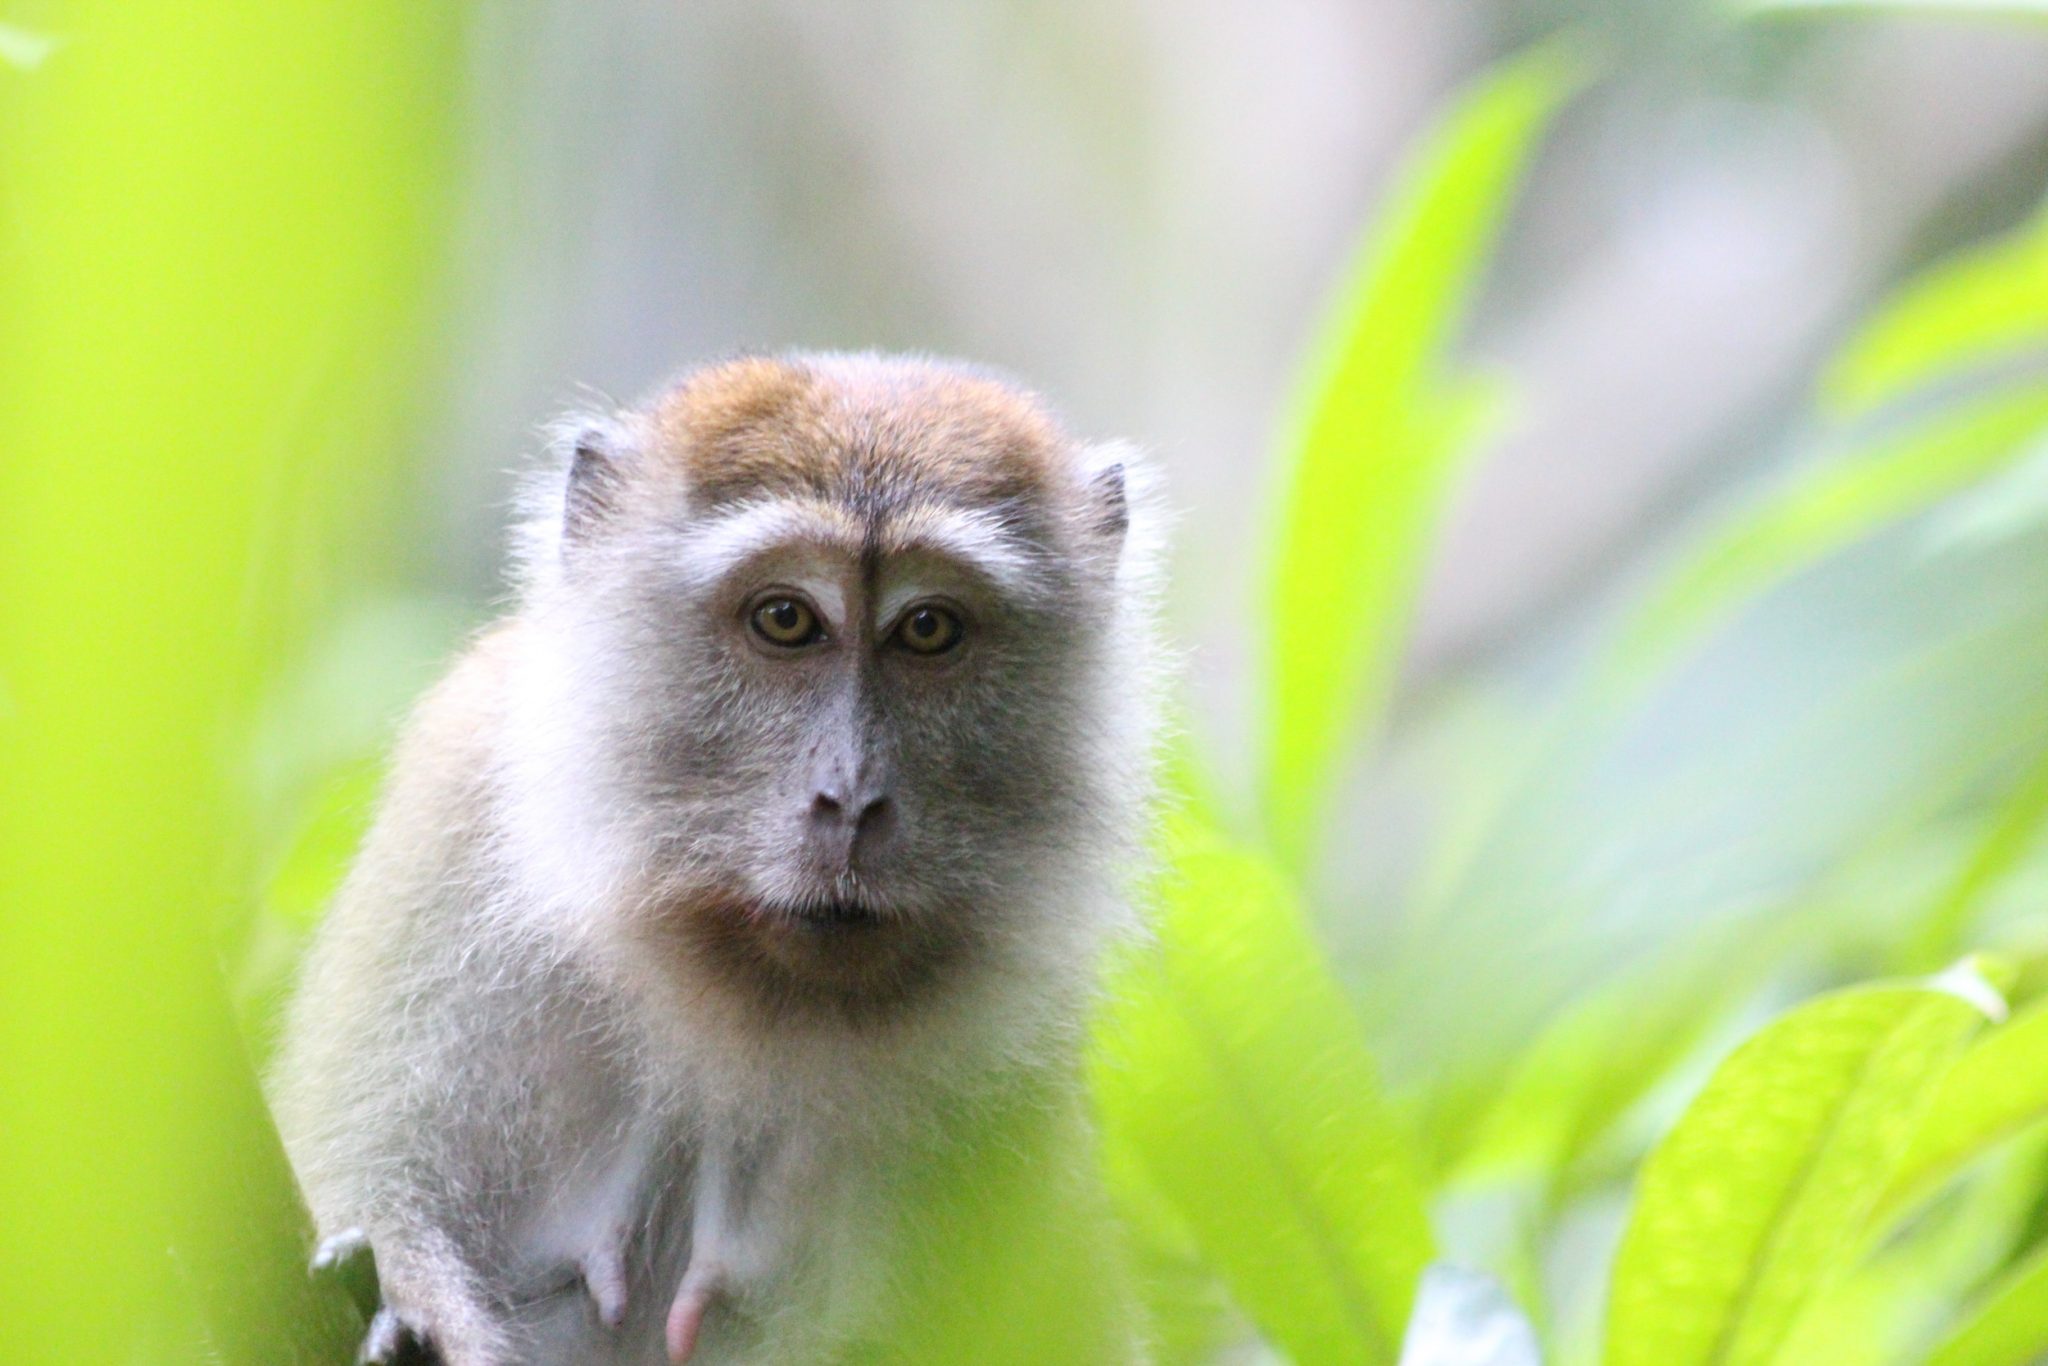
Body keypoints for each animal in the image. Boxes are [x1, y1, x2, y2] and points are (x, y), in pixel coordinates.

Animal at [270, 352, 1167, 1365]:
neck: (721, 988)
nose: (850, 798)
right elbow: (368, 1179)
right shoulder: (456, 804)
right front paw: (404, 1323)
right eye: (785, 619)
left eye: (928, 629)